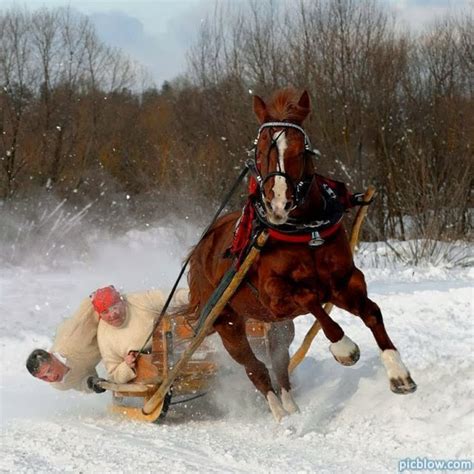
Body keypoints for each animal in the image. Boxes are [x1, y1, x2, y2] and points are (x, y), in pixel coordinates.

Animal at [185, 89, 414, 422]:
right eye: (261, 148)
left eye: (301, 149)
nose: (278, 203)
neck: (306, 232)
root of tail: (200, 248)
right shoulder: (275, 296)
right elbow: (311, 300)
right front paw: (344, 348)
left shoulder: (344, 282)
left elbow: (372, 312)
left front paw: (399, 373)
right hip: (227, 322)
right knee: (256, 370)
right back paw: (280, 416)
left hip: (277, 326)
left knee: (279, 365)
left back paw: (292, 407)